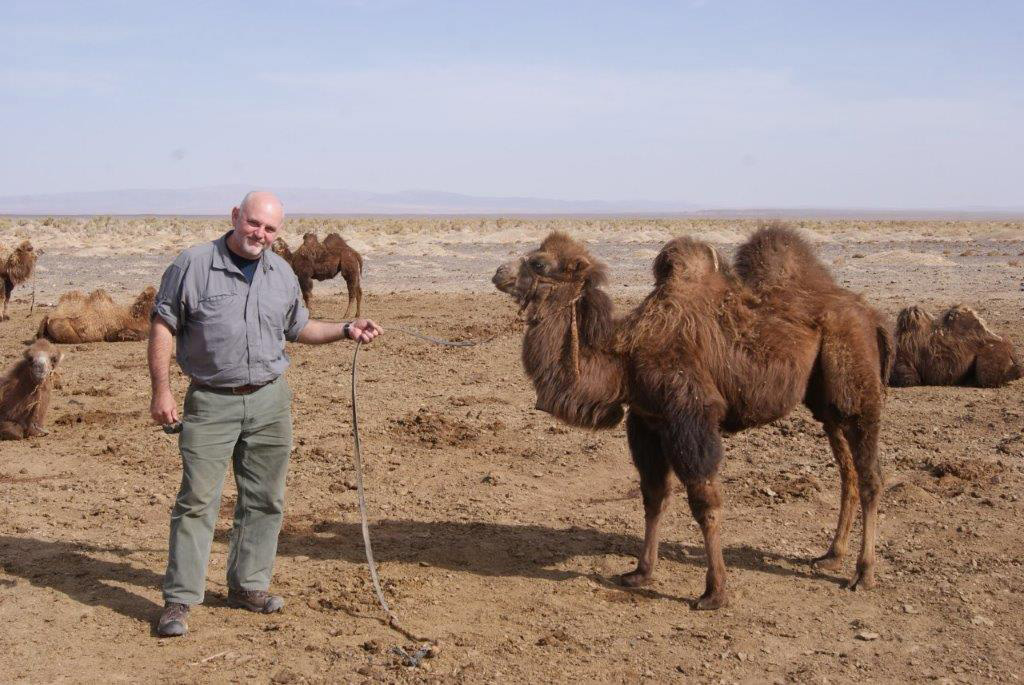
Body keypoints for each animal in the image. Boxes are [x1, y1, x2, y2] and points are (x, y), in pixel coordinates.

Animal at [493, 225, 892, 609]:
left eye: (539, 263)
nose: (499, 272)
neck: (625, 358)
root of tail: (872, 314)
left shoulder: (690, 416)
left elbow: (705, 503)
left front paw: (714, 592)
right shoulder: (647, 422)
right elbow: (653, 496)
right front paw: (640, 572)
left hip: (855, 374)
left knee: (870, 474)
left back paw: (864, 573)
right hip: (825, 401)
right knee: (847, 470)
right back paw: (831, 555)